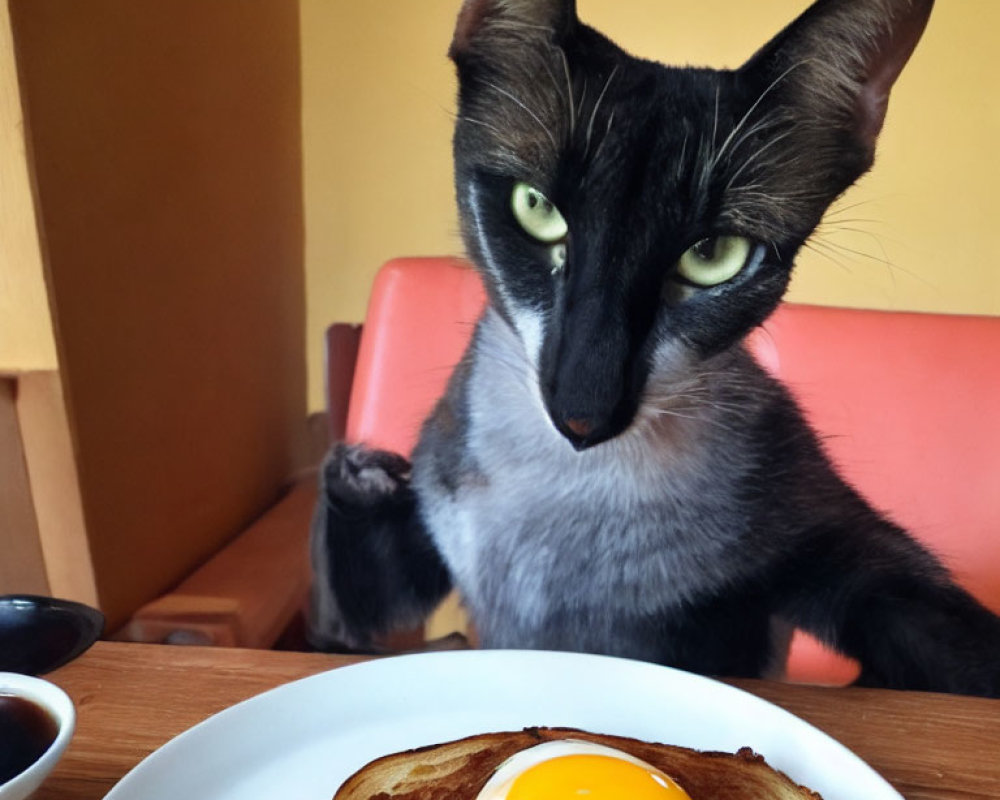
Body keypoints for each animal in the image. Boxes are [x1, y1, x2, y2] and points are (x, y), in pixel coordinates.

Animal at [306, 0, 1000, 696]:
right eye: (536, 208)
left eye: (714, 255)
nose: (584, 414)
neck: (569, 500)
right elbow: (343, 622)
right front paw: (362, 471)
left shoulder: (822, 537)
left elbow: (935, 639)